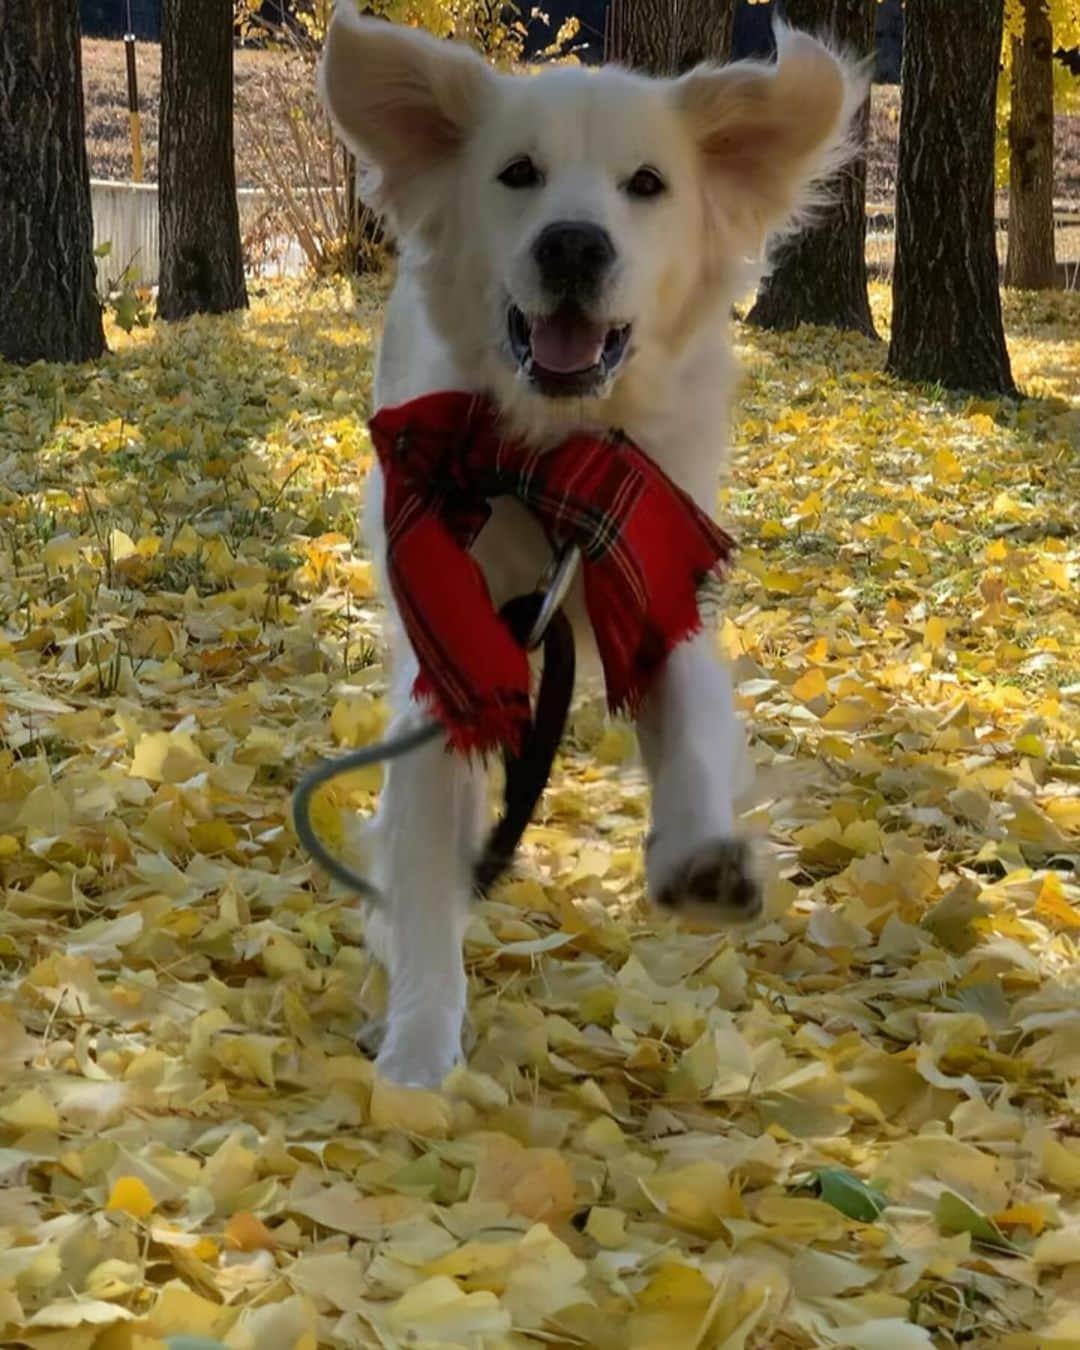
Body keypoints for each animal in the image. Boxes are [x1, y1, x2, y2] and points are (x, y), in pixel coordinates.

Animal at [315, 7, 864, 1085]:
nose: (574, 245)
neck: (552, 459)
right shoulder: (448, 641)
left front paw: (701, 857)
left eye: (647, 184)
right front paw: (417, 1054)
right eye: (517, 173)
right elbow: (427, 858)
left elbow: (687, 720)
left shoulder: (652, 566)